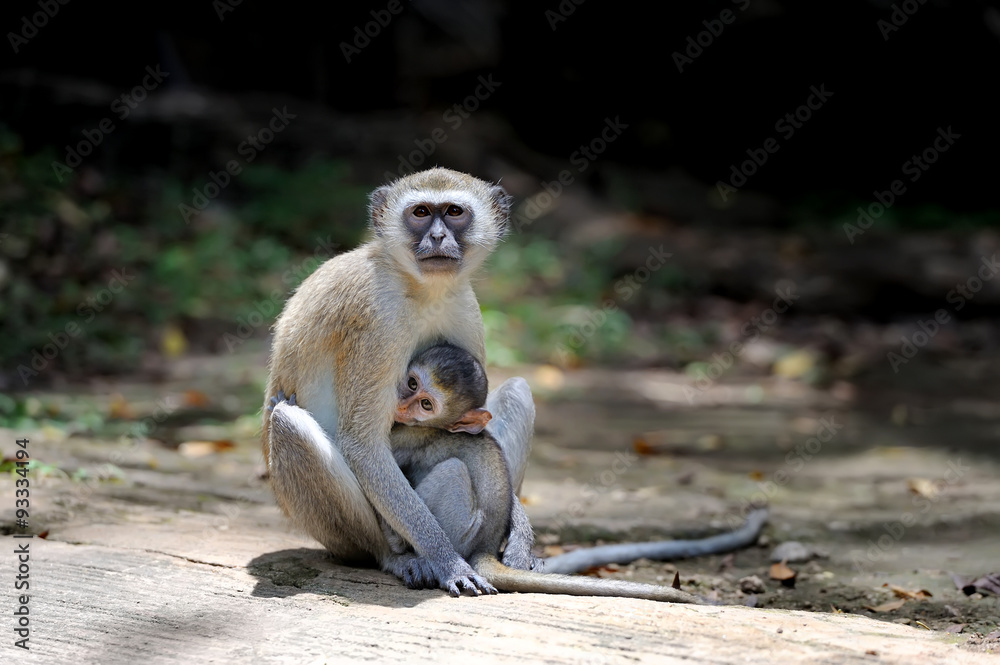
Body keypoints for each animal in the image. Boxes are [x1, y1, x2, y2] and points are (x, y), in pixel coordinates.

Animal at [264, 168, 537, 597]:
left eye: (454, 212)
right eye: (421, 212)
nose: (438, 237)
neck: (421, 289)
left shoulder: (465, 308)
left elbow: (481, 422)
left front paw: (523, 540)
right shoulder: (378, 320)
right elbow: (362, 444)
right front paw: (447, 560)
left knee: (517, 390)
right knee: (288, 423)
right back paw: (394, 556)